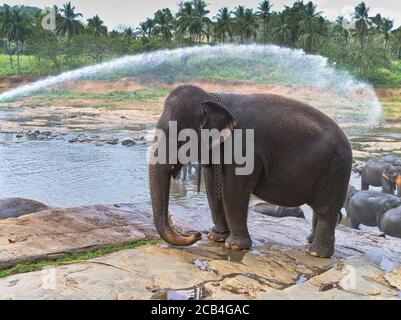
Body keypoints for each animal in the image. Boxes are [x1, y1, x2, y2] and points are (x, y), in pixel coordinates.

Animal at [148, 84, 352, 258]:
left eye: (180, 137)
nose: (196, 234)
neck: (212, 97)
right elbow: (213, 187)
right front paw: (216, 238)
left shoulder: (243, 147)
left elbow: (233, 190)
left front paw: (234, 246)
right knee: (320, 209)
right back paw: (309, 242)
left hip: (335, 170)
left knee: (326, 209)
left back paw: (316, 253)